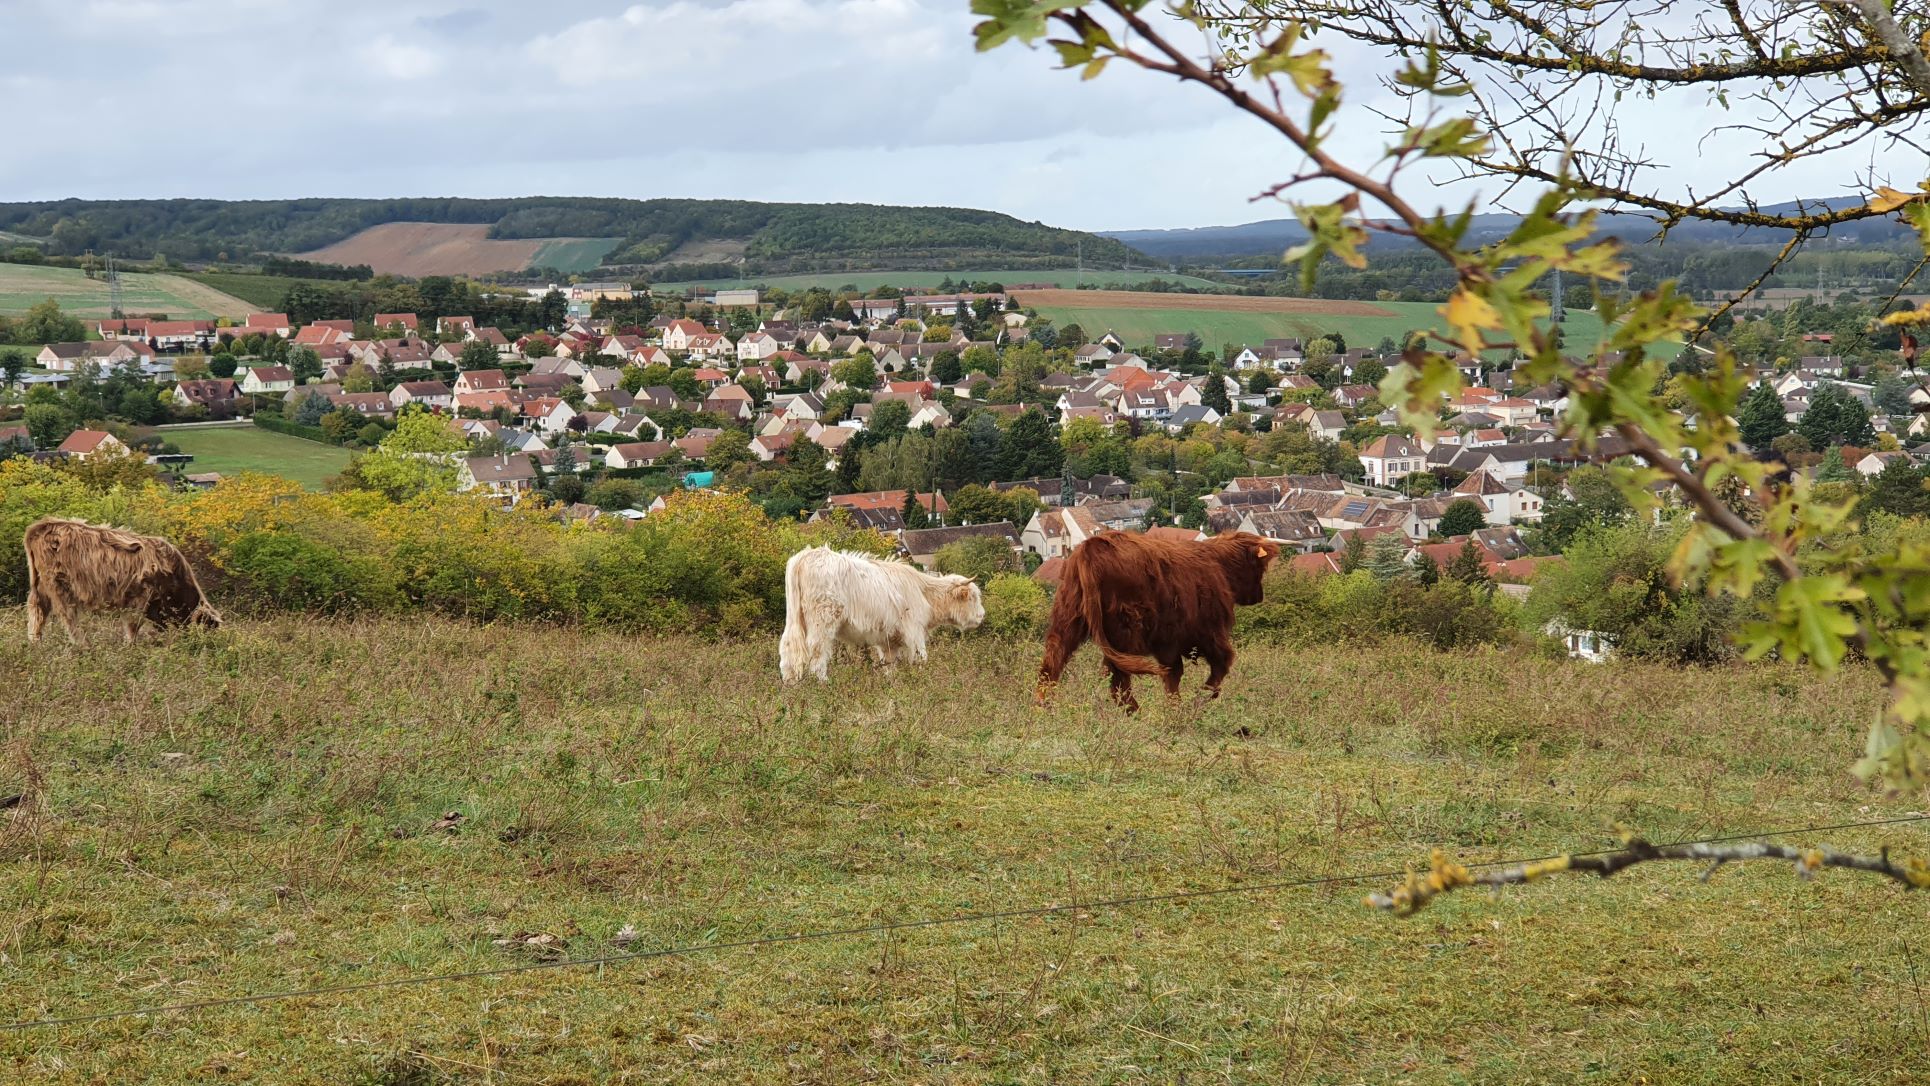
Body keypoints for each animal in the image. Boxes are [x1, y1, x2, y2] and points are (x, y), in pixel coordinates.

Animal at [775, 547, 980, 682]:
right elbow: (920, 658)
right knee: (817, 652)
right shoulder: (914, 632)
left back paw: (790, 683)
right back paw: (823, 683)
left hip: (793, 618)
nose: (981, 616)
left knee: (788, 648)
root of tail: (807, 555)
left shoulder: (888, 641)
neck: (923, 591)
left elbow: (890, 665)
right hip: (823, 621)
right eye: (973, 597)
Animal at [1034, 528, 1273, 713]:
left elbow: (1174, 673)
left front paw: (1179, 705)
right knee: (1119, 679)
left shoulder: (1169, 641)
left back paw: (1044, 707)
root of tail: (1092, 547)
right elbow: (1219, 663)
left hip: (1068, 617)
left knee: (1052, 661)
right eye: (1259, 568)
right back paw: (1136, 713)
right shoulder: (1206, 632)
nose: (1259, 596)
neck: (1219, 565)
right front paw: (1195, 700)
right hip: (1126, 628)